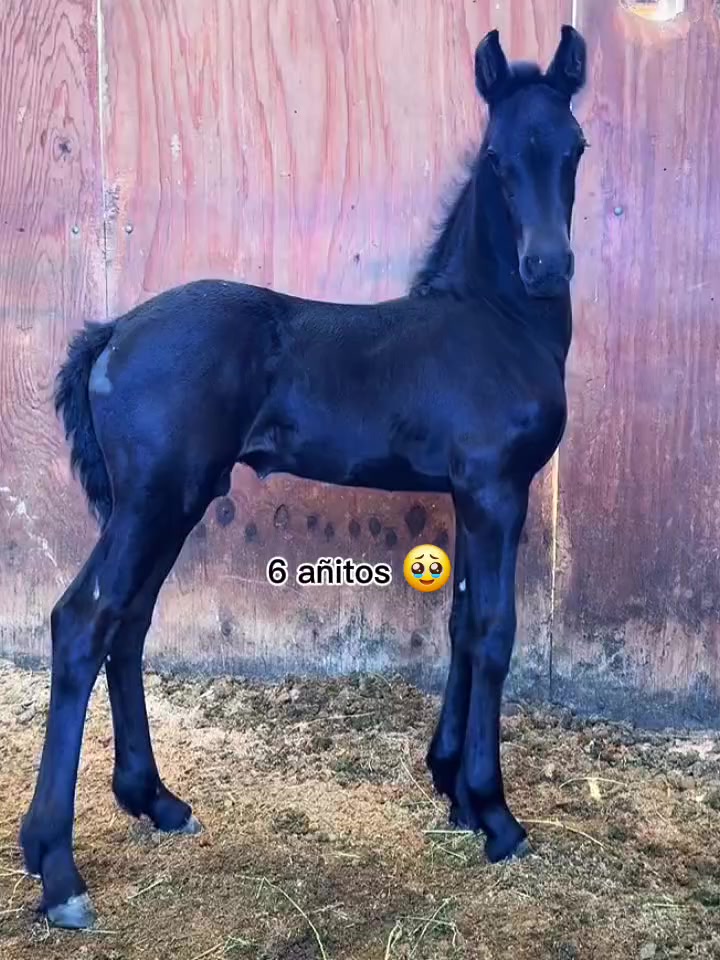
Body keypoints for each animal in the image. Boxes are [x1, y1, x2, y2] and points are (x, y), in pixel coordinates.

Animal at [19, 25, 588, 929]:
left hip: (166, 506)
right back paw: (60, 873)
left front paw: (452, 789)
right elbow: (496, 633)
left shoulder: (471, 496)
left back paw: (157, 801)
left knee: (128, 624)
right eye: (500, 157)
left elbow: (462, 625)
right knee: (82, 622)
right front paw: (497, 815)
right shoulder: (499, 493)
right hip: (155, 502)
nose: (547, 267)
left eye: (574, 147)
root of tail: (111, 331)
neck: (494, 324)